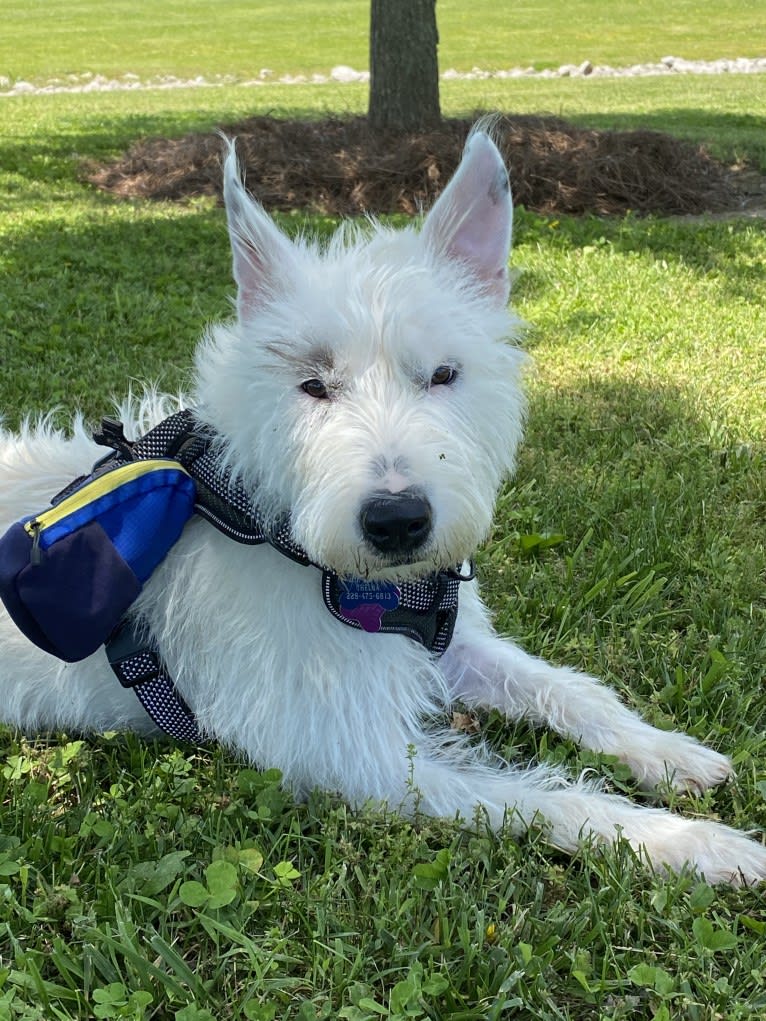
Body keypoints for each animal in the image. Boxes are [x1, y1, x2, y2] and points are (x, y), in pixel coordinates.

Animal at [1, 131, 766, 882]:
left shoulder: (440, 644)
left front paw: (668, 752)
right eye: (313, 384)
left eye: (444, 374)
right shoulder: (360, 758)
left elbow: (571, 689)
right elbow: (549, 801)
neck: (289, 545)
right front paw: (697, 845)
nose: (397, 522)